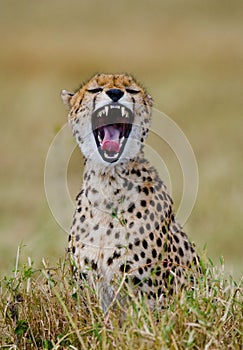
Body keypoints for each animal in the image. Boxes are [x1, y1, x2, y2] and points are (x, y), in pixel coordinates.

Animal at [61, 72, 200, 310]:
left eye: (132, 91)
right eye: (95, 89)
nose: (115, 93)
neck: (107, 183)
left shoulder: (151, 298)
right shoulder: (89, 292)